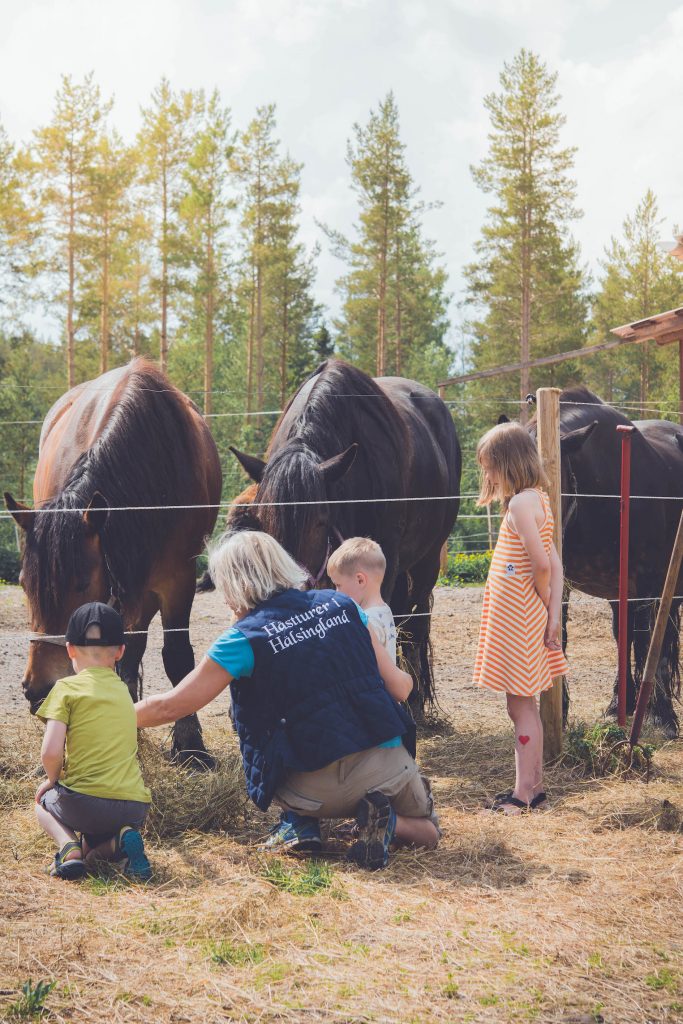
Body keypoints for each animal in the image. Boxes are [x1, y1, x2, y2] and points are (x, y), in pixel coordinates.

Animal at [6, 356, 224, 765]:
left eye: (81, 585)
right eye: (25, 585)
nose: (39, 690)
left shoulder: (177, 578)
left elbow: (177, 657)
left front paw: (190, 745)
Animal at [528, 385, 683, 737]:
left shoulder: (649, 581)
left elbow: (649, 642)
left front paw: (661, 716)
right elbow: (562, 637)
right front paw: (561, 712)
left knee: (660, 636)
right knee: (623, 634)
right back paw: (619, 702)